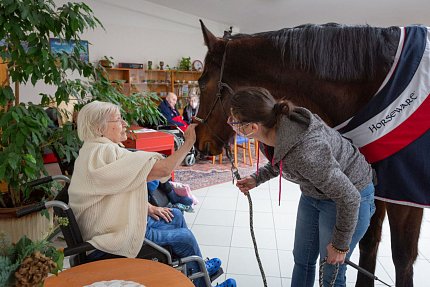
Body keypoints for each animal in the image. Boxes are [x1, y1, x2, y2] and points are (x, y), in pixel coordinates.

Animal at [196, 20, 430, 287]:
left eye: (202, 82)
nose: (197, 142)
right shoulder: (379, 184)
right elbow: (368, 243)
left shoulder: (404, 194)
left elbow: (402, 257)